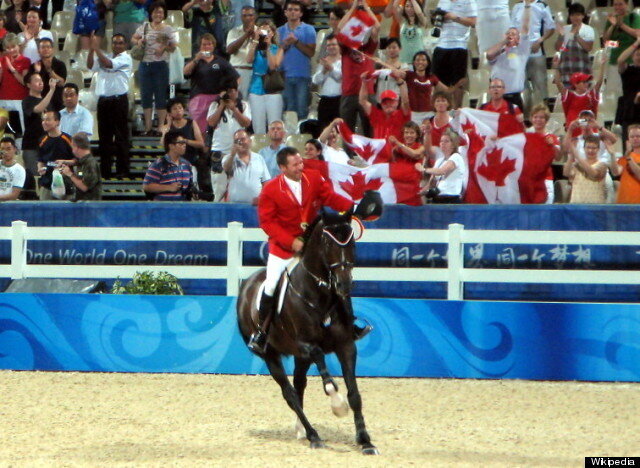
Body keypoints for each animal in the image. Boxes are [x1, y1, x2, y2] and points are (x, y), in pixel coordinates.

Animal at [236, 210, 378, 456]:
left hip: (299, 357)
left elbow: (354, 394)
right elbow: (329, 380)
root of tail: (246, 285)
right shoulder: (307, 345)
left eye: (351, 242)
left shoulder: (346, 346)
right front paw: (338, 406)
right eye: (328, 243)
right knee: (290, 393)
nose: (343, 285)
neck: (319, 296)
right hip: (270, 355)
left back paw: (302, 430)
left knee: (298, 385)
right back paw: (313, 435)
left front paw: (365, 441)